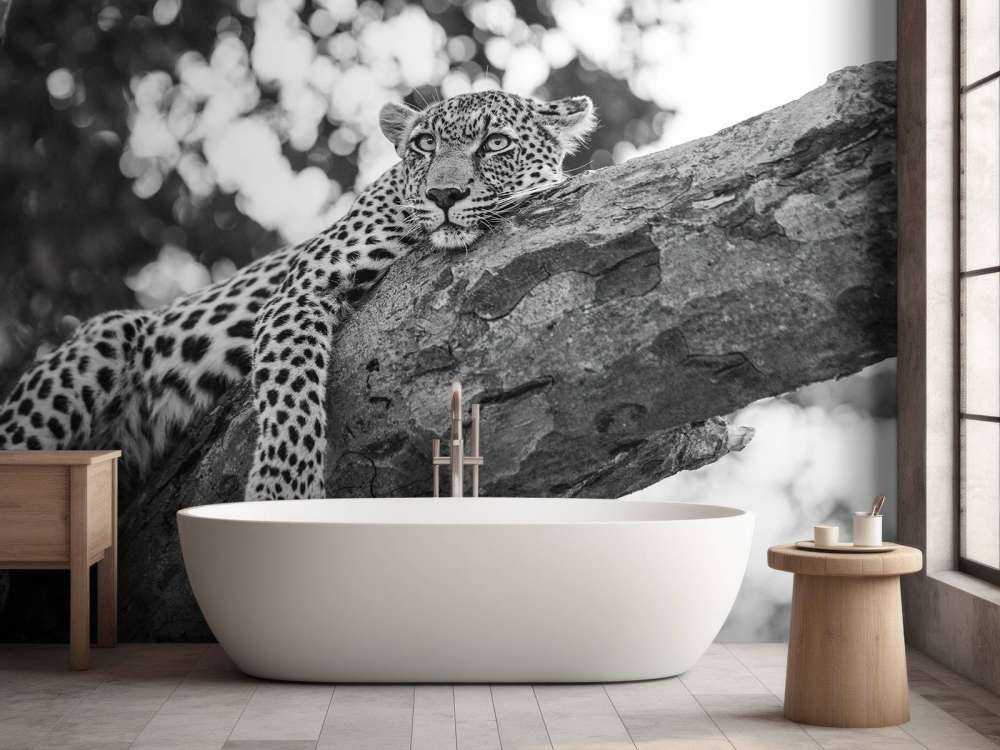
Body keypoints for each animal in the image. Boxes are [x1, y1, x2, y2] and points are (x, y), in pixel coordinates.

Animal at [0, 90, 597, 501]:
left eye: (496, 144)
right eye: (424, 145)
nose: (443, 194)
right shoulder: (301, 290)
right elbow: (292, 394)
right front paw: (282, 493)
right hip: (102, 340)